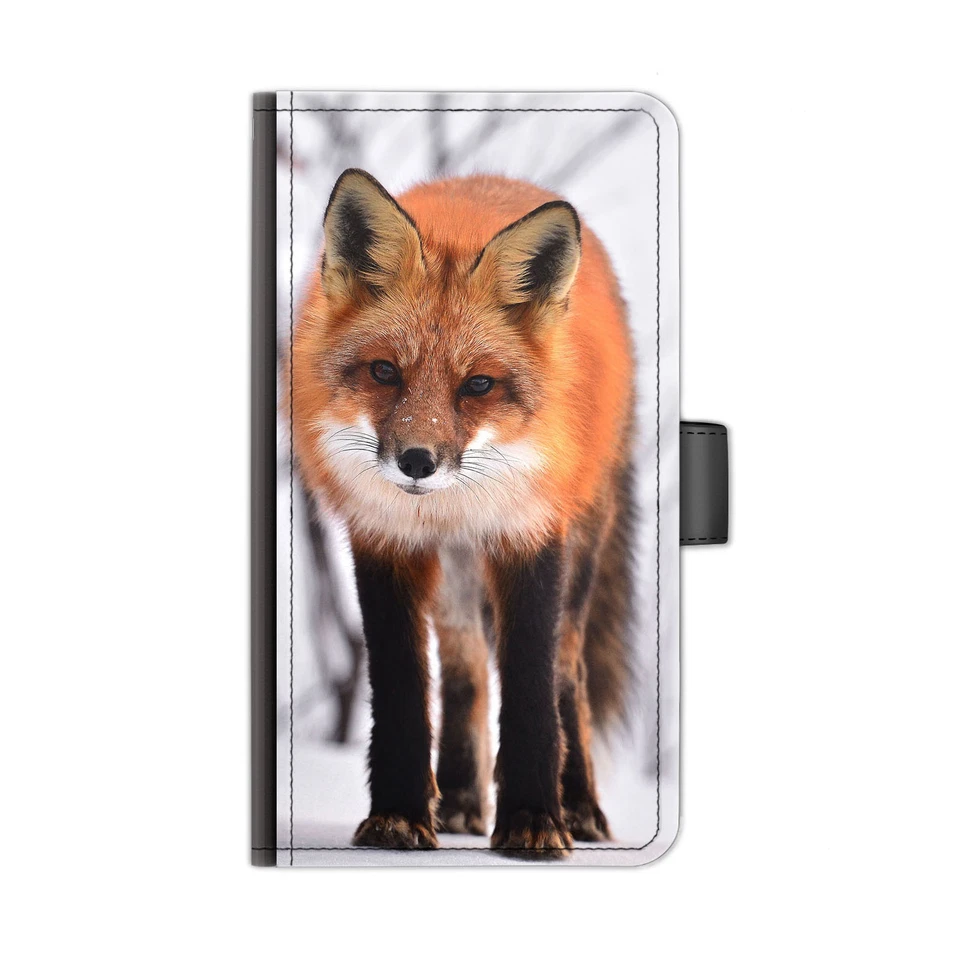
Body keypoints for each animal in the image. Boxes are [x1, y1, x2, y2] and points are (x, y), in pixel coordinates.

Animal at [292, 168, 636, 857]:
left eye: (477, 385)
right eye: (384, 372)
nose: (417, 462)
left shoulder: (530, 533)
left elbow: (531, 686)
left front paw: (534, 820)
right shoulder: (385, 540)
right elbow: (402, 687)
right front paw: (398, 816)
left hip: (581, 547)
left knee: (568, 672)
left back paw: (579, 807)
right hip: (452, 578)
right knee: (464, 669)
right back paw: (456, 800)